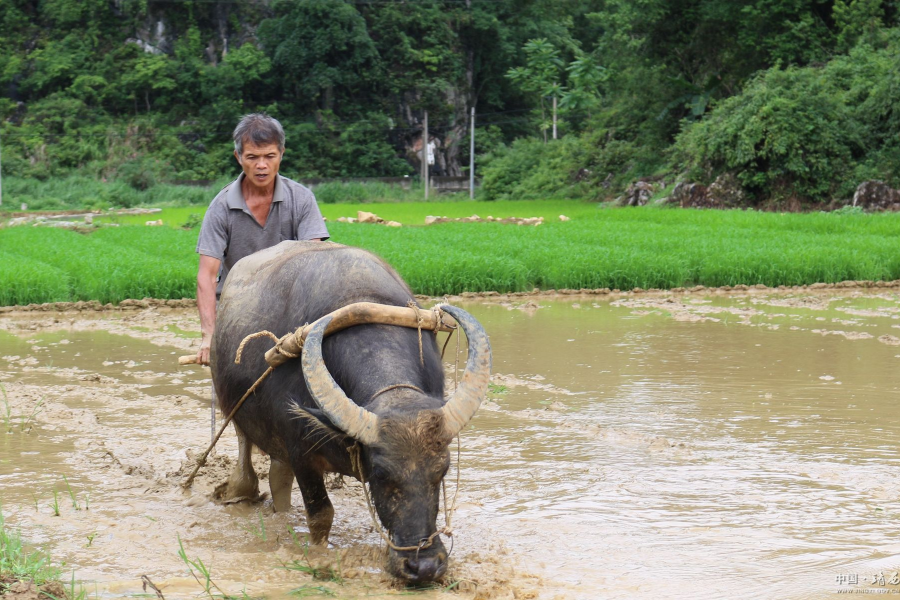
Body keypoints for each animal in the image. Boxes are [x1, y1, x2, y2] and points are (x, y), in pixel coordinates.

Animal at [211, 239, 492, 580]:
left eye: (443, 471)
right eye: (381, 474)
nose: (423, 565)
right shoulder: (300, 451)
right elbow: (321, 514)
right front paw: (319, 556)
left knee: (278, 478)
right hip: (234, 410)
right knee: (246, 456)